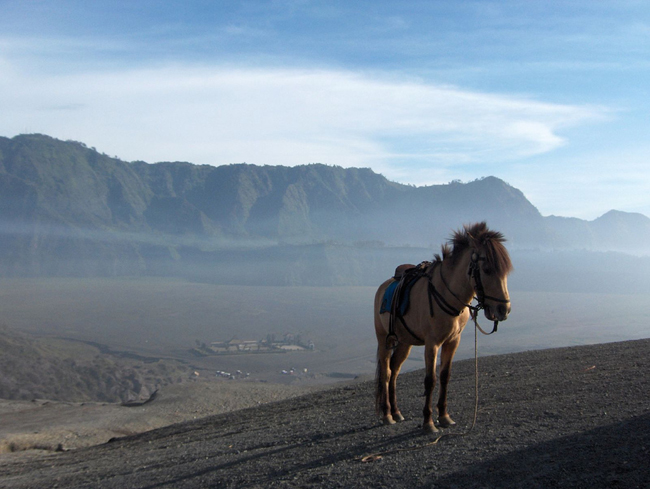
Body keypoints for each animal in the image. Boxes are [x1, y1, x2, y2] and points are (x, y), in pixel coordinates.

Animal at [374, 221, 512, 430]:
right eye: (487, 269)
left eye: (505, 271)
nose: (504, 309)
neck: (447, 295)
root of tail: (383, 286)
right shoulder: (432, 344)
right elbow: (430, 380)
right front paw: (428, 421)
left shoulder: (452, 341)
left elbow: (445, 376)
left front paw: (444, 416)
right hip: (385, 340)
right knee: (387, 373)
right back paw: (387, 414)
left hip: (405, 342)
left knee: (395, 370)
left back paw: (397, 412)